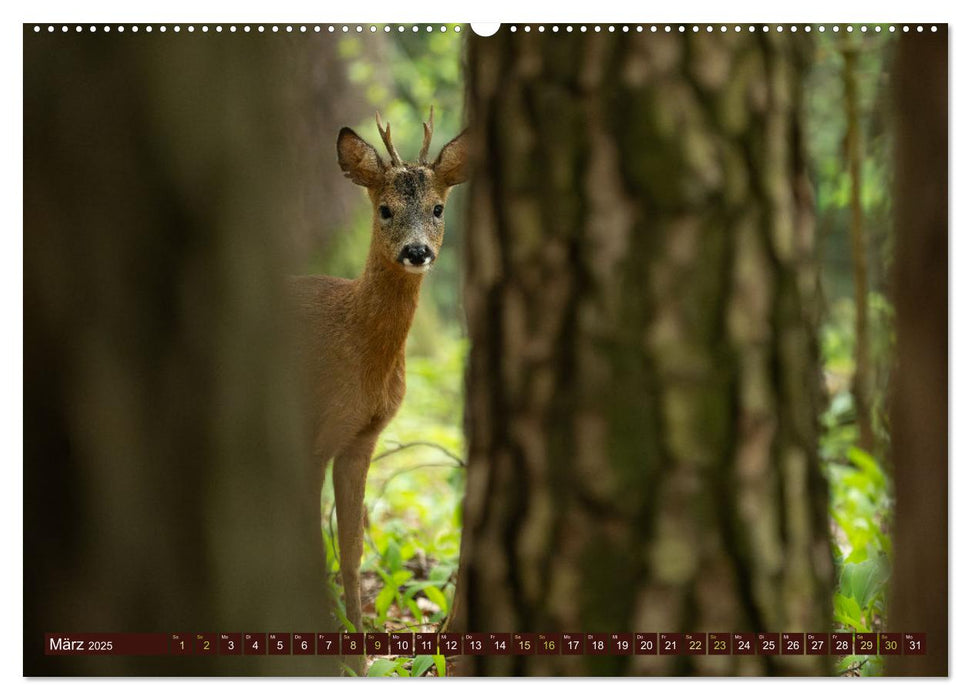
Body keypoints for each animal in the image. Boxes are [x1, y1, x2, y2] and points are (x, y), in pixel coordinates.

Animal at [288, 106, 468, 652]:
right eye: (385, 209)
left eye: (438, 208)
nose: (417, 252)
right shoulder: (310, 433)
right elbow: (314, 548)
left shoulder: (362, 438)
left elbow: (351, 549)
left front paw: (359, 643)